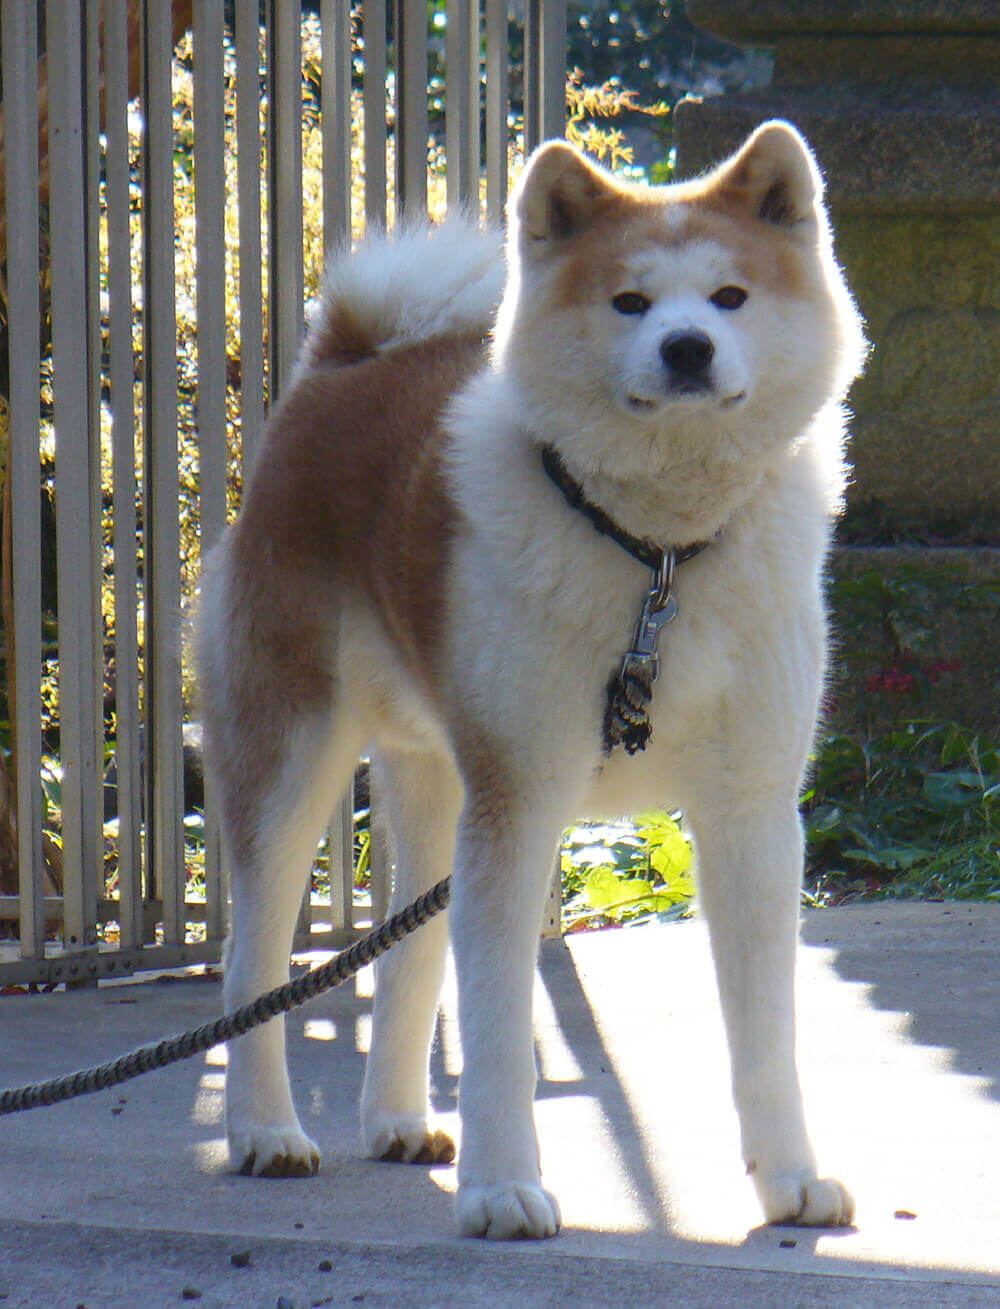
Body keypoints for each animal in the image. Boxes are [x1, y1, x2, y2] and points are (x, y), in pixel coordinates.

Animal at [198, 123, 863, 1235]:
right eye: (630, 302)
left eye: (728, 296)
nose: (687, 347)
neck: (658, 559)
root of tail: (348, 364)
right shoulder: (520, 802)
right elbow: (499, 1026)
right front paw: (505, 1187)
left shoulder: (751, 813)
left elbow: (766, 1033)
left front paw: (789, 1179)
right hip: (291, 758)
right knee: (256, 958)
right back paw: (263, 1131)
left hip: (435, 784)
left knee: (409, 951)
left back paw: (397, 1119)